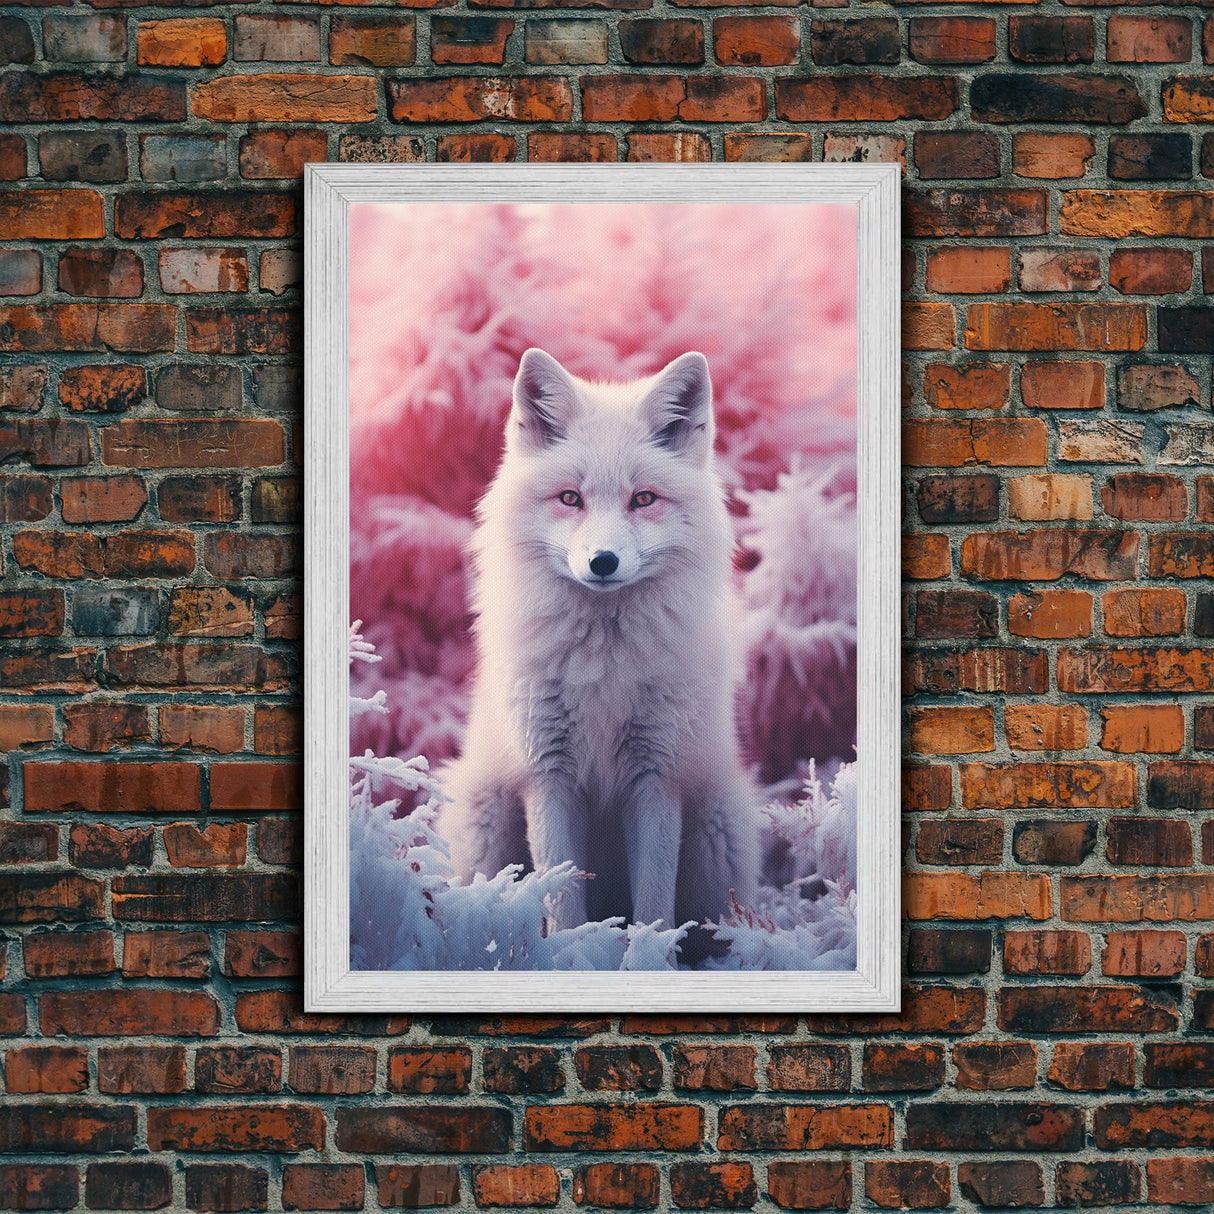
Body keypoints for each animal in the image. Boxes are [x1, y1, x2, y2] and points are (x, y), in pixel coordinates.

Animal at [441, 347, 758, 946]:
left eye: (643, 499)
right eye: (571, 498)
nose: (603, 562)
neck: (602, 669)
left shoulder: (656, 776)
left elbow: (654, 911)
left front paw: (648, 957)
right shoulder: (548, 775)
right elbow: (562, 899)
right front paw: (572, 954)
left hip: (715, 836)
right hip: (487, 828)